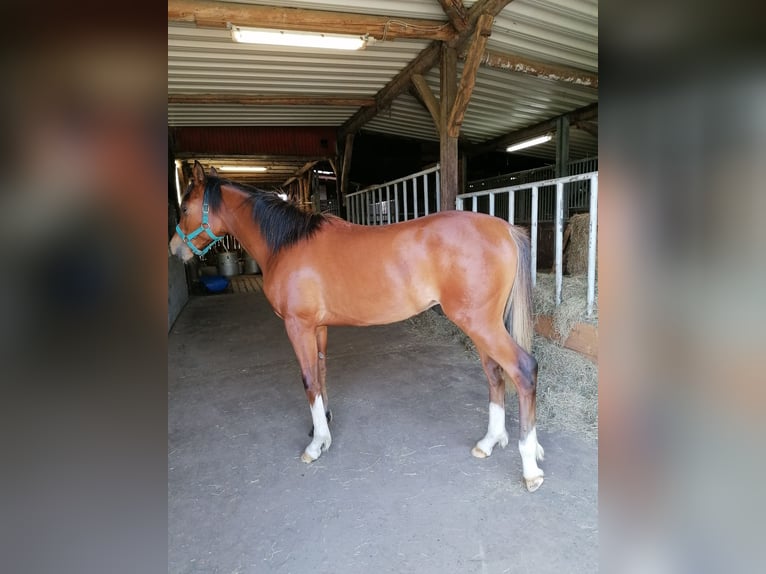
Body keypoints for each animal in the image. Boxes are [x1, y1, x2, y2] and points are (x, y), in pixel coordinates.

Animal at [170, 161, 545, 492]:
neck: (288, 243)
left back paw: (530, 468)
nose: (175, 250)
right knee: (495, 374)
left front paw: (315, 446)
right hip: (483, 326)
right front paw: (321, 429)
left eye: (185, 206)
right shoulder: (318, 328)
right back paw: (490, 441)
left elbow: (308, 380)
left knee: (523, 370)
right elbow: (320, 374)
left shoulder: (297, 326)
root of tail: (505, 229)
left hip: (480, 324)